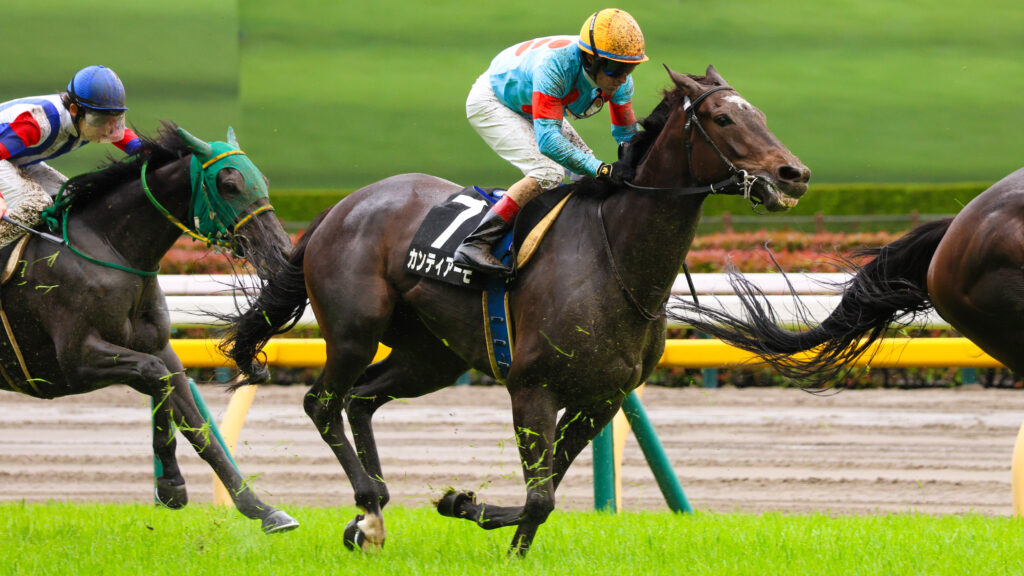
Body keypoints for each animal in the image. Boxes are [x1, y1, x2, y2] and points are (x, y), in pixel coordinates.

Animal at [0, 124, 298, 534]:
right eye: (229, 185)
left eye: (263, 180)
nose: (282, 253)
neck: (110, 250)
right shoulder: (75, 361)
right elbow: (155, 376)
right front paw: (170, 485)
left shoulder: (159, 348)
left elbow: (196, 423)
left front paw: (261, 509)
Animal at [220, 65, 811, 554]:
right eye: (723, 117)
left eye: (759, 114)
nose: (795, 174)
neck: (612, 257)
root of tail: (340, 207)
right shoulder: (533, 389)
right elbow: (540, 497)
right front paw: (465, 506)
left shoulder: (603, 400)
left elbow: (544, 494)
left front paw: (486, 525)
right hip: (353, 332)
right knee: (322, 403)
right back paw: (366, 505)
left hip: (434, 356)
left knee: (362, 399)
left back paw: (374, 517)